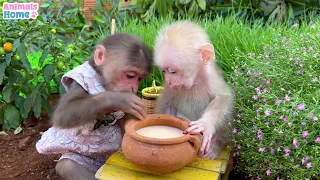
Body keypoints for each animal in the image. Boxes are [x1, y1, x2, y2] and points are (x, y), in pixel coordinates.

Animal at [154, 21, 234, 160]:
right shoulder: (171, 88)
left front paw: (206, 124)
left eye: (173, 71)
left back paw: (216, 145)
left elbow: (223, 97)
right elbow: (167, 104)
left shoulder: (210, 77)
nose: (168, 81)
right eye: (164, 71)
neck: (194, 82)